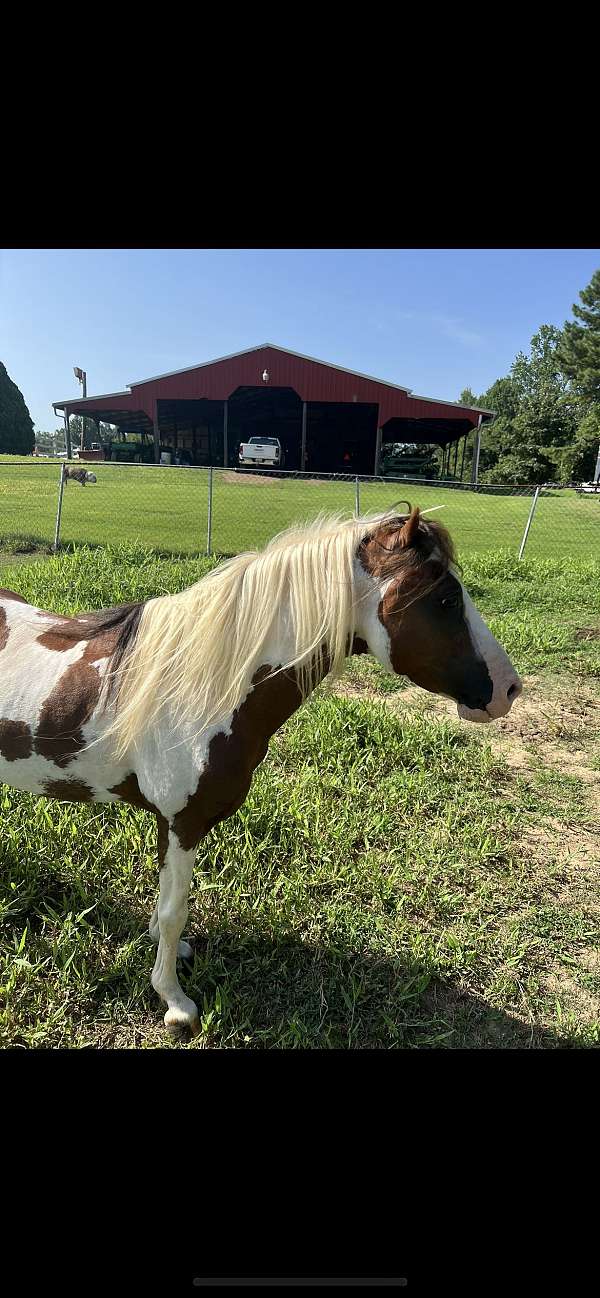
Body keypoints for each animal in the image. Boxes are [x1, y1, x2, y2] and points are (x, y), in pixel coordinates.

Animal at [0, 507, 522, 1037]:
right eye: (446, 598)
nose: (509, 690)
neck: (202, 685)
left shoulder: (171, 823)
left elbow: (166, 902)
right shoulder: (184, 823)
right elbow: (174, 910)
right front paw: (174, 1001)